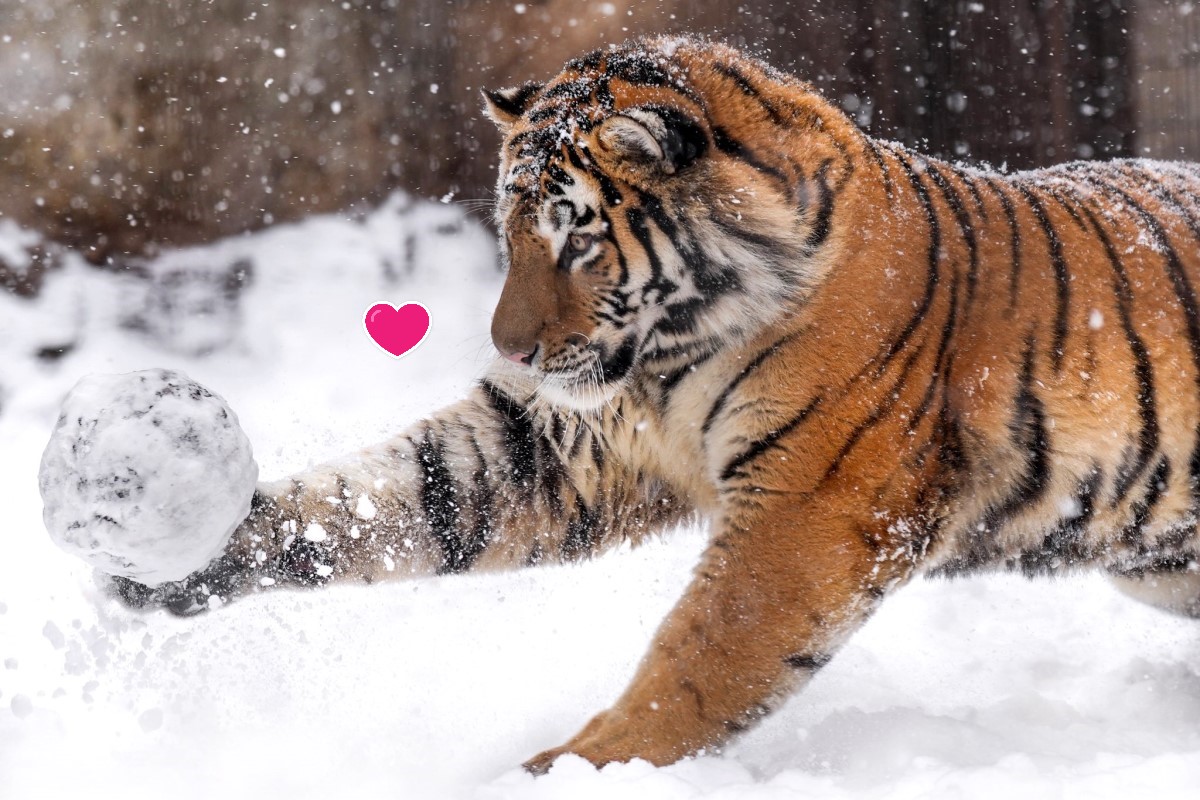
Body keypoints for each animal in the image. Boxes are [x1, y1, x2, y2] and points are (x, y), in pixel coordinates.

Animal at [112, 35, 1200, 773]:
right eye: (510, 232)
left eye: (579, 235)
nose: (510, 348)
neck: (675, 351)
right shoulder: (560, 444)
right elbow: (396, 495)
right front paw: (177, 550)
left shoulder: (810, 506)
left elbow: (700, 654)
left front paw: (572, 770)